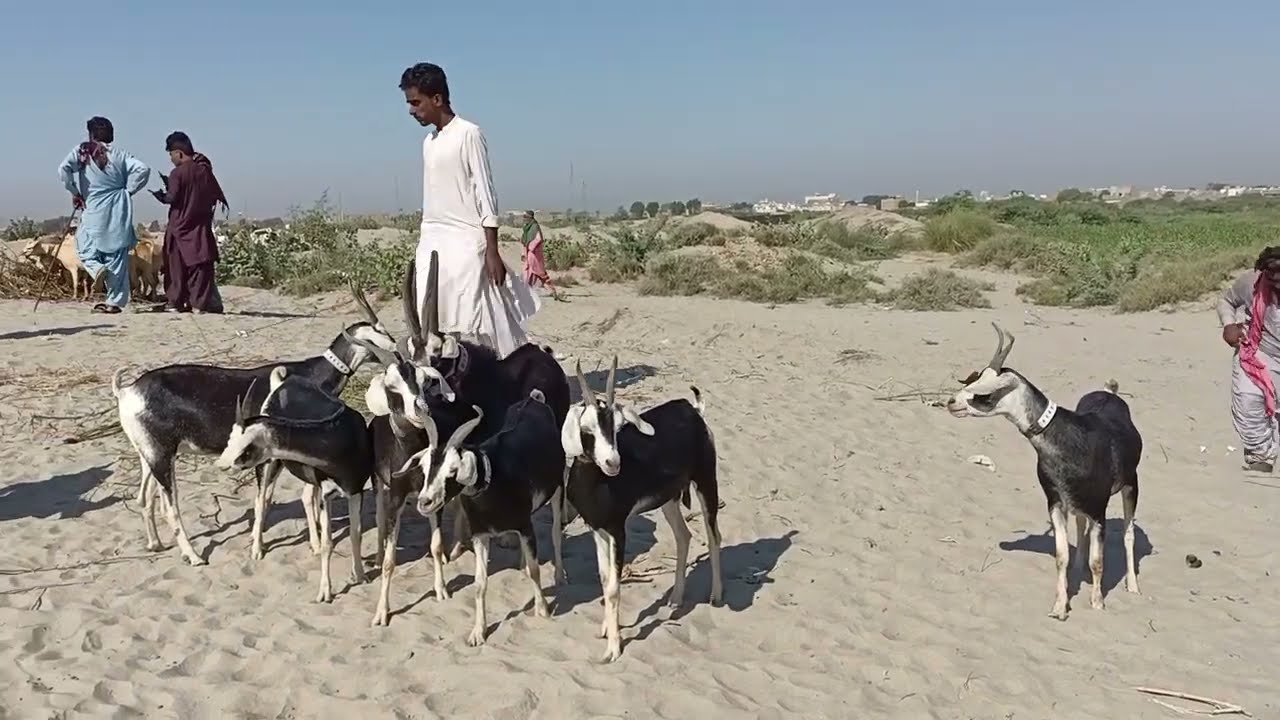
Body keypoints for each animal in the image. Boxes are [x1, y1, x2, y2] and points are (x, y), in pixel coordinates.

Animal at [112, 319, 395, 565]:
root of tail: (126, 391)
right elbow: (268, 500)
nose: (396, 351)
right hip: (160, 456)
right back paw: (193, 556)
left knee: (144, 497)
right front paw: (263, 548)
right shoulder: (271, 457)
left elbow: (288, 497)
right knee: (171, 509)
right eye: (378, 332)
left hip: (151, 455)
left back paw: (156, 544)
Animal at [215, 367, 373, 603]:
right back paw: (257, 549)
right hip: (269, 465)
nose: (222, 464)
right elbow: (329, 543)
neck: (340, 439)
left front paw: (360, 575)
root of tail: (282, 382)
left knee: (304, 497)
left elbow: (356, 533)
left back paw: (313, 545)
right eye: (230, 439)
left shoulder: (355, 491)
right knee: (261, 501)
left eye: (247, 447)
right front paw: (325, 591)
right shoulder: (327, 494)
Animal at [392, 389, 564, 645]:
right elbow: (480, 583)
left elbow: (536, 570)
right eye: (425, 467)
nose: (425, 502)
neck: (494, 481)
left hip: (557, 491)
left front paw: (542, 609)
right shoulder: (480, 535)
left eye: (453, 470)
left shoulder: (525, 526)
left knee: (555, 534)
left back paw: (560, 575)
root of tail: (533, 399)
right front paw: (478, 632)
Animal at [561, 358, 723, 662]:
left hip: (706, 482)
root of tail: (692, 410)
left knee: (714, 536)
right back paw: (675, 600)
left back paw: (716, 596)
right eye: (587, 429)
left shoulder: (617, 530)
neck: (598, 483)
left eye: (618, 427)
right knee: (684, 536)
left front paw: (613, 648)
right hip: (669, 500)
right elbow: (604, 580)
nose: (613, 462)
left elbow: (614, 587)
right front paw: (606, 629)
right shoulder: (597, 529)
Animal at [946, 323, 1141, 620]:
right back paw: (1079, 570)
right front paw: (1060, 607)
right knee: (1081, 528)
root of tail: (1110, 392)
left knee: (1129, 534)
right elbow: (1061, 556)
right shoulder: (1056, 503)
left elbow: (1098, 561)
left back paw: (1133, 586)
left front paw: (1097, 602)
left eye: (984, 394)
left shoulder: (1099, 510)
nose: (951, 402)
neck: (1067, 439)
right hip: (1078, 503)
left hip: (1131, 486)